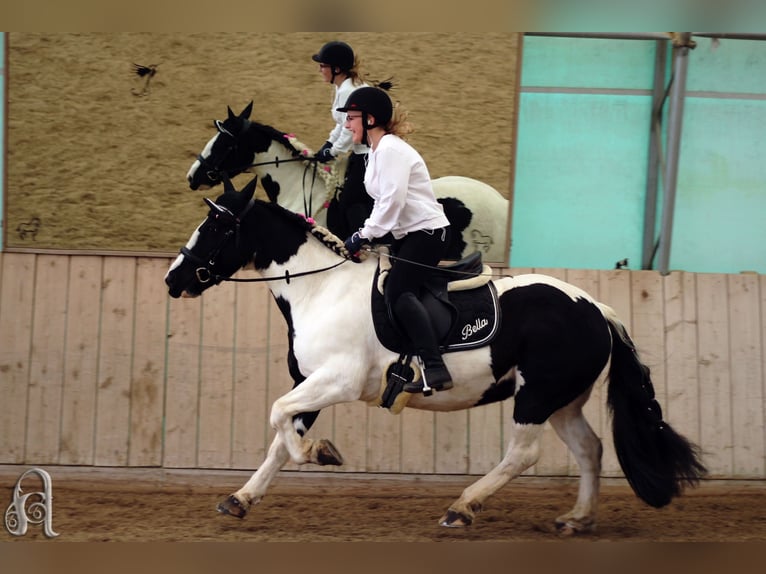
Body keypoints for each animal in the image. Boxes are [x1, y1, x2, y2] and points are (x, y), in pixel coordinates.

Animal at [164, 177, 708, 536]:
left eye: (216, 225)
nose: (173, 279)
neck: (320, 290)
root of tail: (597, 308)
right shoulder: (312, 382)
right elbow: (280, 437)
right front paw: (240, 498)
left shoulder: (337, 380)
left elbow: (280, 418)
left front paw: (321, 453)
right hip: (563, 399)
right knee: (590, 449)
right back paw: (577, 518)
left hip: (536, 394)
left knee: (524, 454)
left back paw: (462, 508)